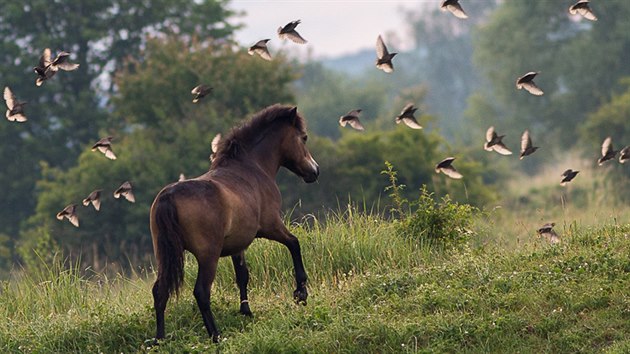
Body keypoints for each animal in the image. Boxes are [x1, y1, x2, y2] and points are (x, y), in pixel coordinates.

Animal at [149, 105, 320, 342]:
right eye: (303, 137)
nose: (315, 171)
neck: (251, 167)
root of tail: (168, 197)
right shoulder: (270, 226)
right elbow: (294, 243)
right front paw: (301, 293)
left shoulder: (237, 245)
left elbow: (242, 275)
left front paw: (246, 311)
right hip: (208, 256)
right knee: (201, 292)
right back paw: (216, 335)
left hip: (166, 255)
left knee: (160, 291)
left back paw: (159, 339)